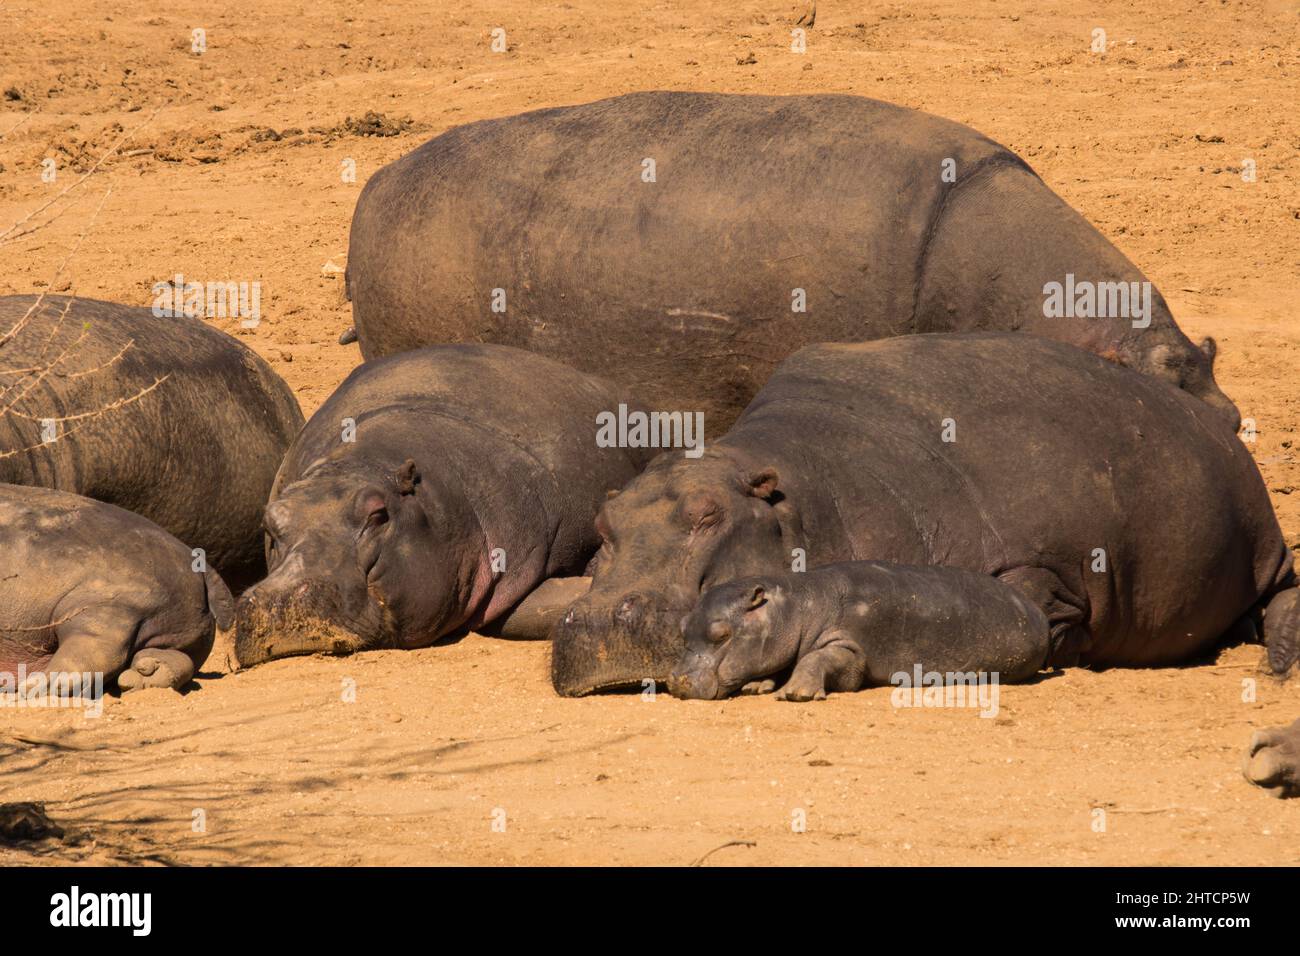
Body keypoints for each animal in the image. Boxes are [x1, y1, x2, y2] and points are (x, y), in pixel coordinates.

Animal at [0, 486, 231, 697]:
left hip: (105, 606)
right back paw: (143, 675)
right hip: (172, 626)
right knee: (173, 658)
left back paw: (31, 689)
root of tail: (197, 561)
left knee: (92, 651)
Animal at [551, 332, 1300, 697]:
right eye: (604, 525)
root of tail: (1222, 431)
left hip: (1264, 546)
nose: (599, 616)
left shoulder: (1046, 568)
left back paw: (1278, 661)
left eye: (709, 514)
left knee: (1281, 592)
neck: (800, 491)